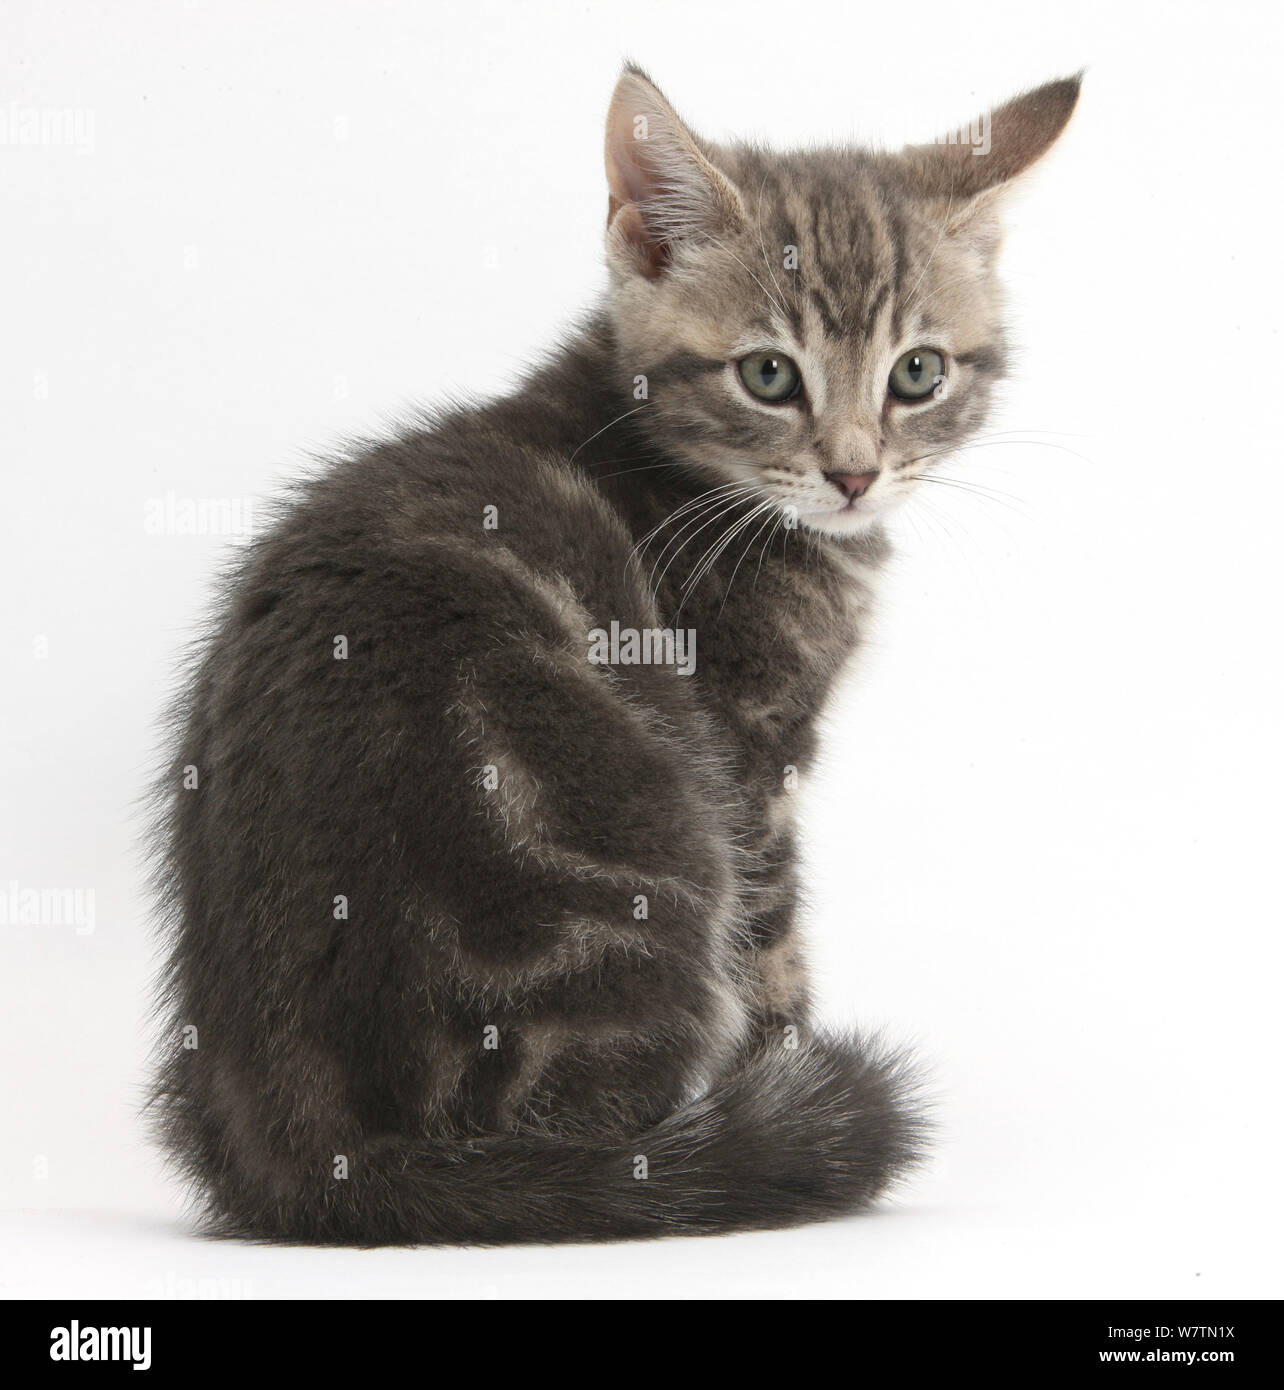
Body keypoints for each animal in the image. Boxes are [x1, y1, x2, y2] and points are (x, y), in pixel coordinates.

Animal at [152, 65, 1083, 1245]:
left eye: (917, 372)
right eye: (769, 374)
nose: (854, 473)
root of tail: (315, 1155)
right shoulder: (747, 757)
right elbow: (774, 949)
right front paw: (788, 1077)